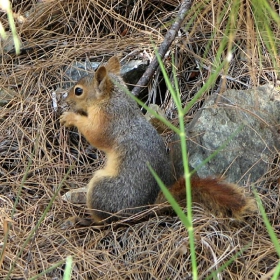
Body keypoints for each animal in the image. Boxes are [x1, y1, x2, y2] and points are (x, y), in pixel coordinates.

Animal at [60, 55, 258, 226]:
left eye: (78, 91)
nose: (65, 99)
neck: (114, 99)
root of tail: (144, 210)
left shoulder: (108, 120)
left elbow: (95, 135)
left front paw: (70, 118)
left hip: (102, 188)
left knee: (104, 219)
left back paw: (84, 219)